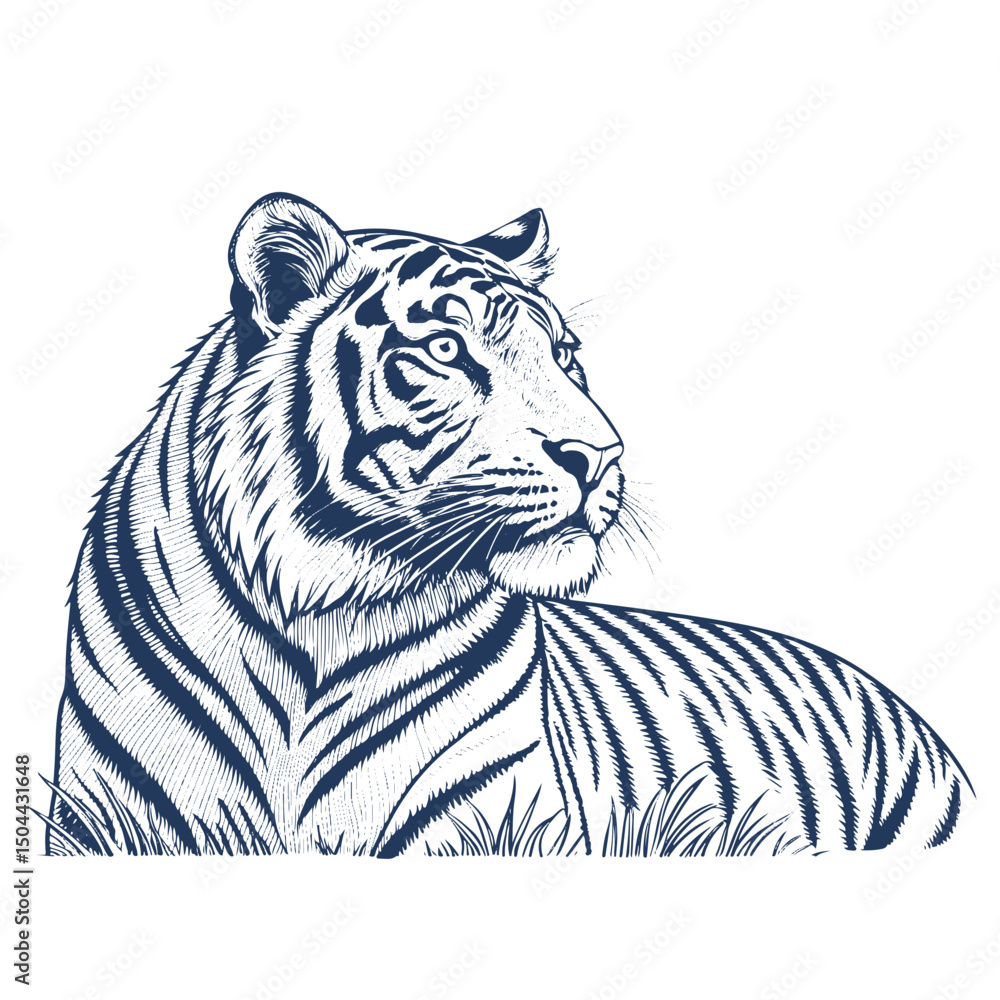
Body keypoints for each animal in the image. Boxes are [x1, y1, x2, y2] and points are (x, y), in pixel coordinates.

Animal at [48, 192, 972, 857]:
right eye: (447, 352)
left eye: (565, 358)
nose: (599, 455)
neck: (321, 616)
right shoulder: (105, 824)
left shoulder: (496, 823)